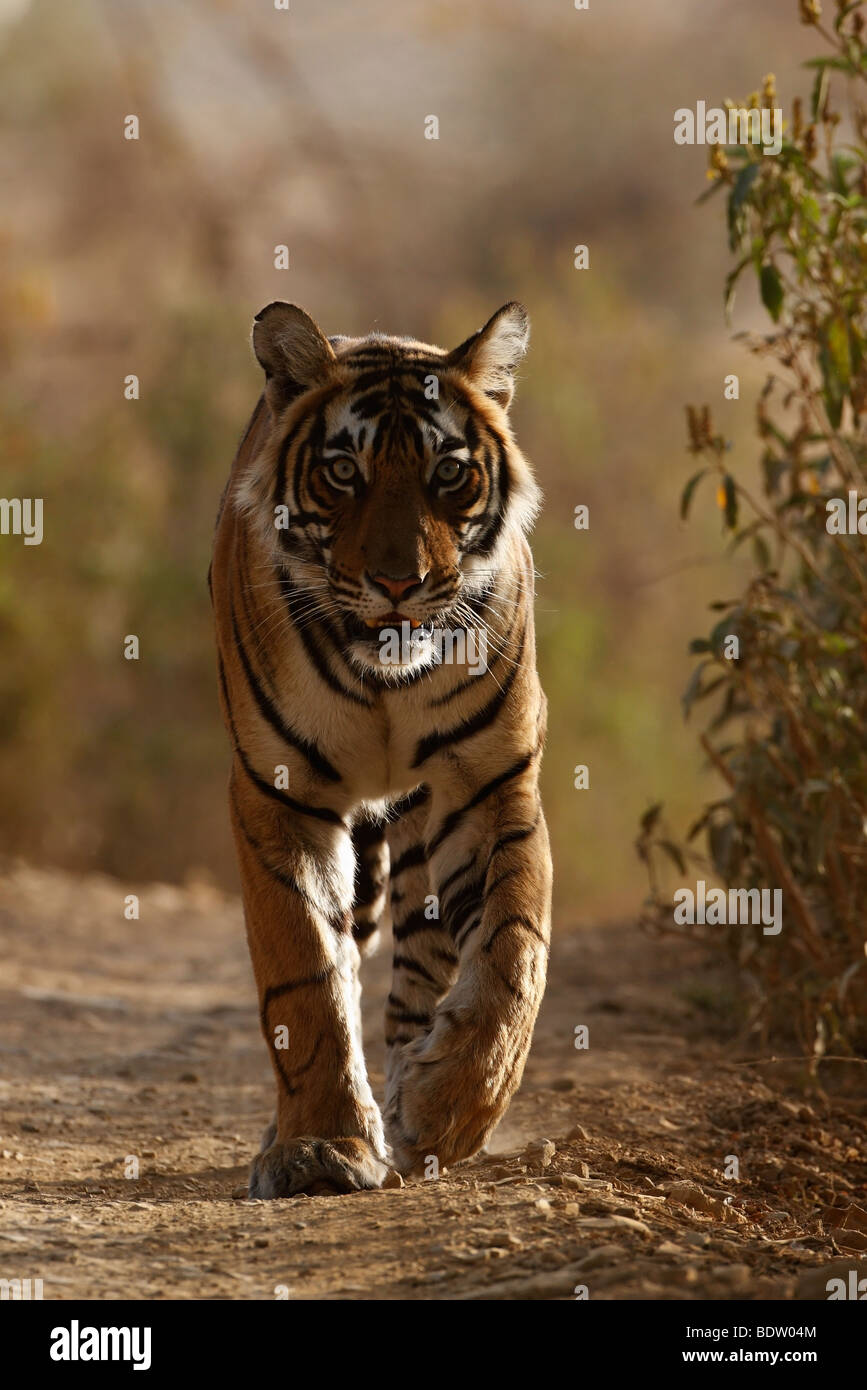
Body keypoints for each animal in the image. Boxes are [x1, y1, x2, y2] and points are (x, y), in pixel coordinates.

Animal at [208, 301, 547, 1195]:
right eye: (342, 473)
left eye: (448, 474)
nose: (399, 582)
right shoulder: (280, 794)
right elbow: (304, 975)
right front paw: (320, 1147)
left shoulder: (488, 786)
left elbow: (514, 955)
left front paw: (449, 1105)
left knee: (423, 970)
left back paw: (409, 1105)